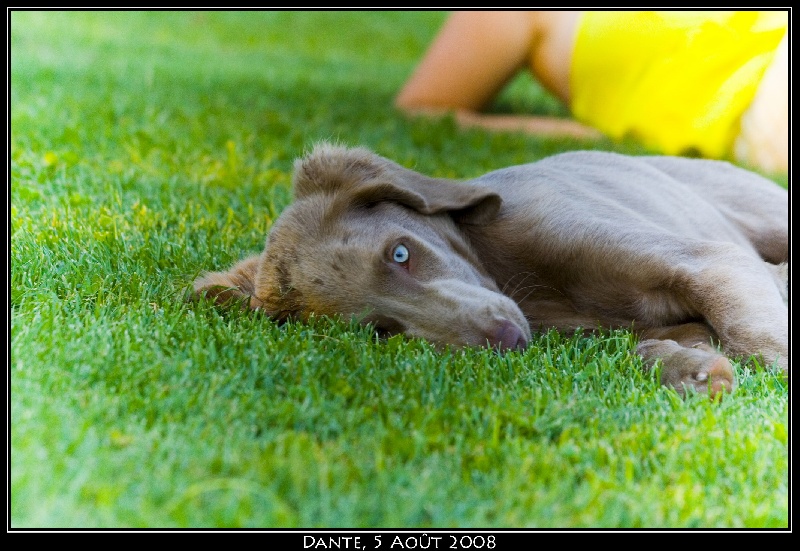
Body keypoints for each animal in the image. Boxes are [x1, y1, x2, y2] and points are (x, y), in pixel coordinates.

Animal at [194, 143, 788, 396]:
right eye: (382, 331)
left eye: (400, 253)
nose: (504, 340)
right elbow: (659, 343)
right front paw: (689, 369)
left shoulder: (712, 261)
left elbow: (760, 348)